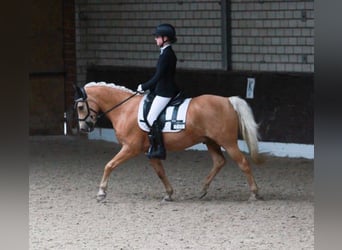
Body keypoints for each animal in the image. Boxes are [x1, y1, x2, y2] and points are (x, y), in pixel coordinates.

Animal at [73, 81, 264, 202]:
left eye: (81, 107)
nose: (83, 127)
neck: (125, 109)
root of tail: (227, 100)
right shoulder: (150, 151)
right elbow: (160, 172)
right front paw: (169, 194)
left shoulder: (130, 148)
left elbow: (109, 165)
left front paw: (101, 193)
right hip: (210, 141)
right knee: (219, 162)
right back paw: (203, 189)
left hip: (228, 142)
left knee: (243, 163)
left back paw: (254, 194)